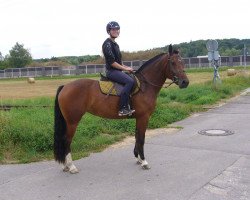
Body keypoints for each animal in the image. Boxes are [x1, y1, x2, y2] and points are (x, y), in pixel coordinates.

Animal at [53, 44, 188, 173]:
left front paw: (138, 158)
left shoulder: (138, 118)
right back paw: (71, 166)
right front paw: (144, 162)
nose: (185, 82)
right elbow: (142, 138)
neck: (145, 86)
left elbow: (137, 136)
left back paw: (66, 166)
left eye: (182, 62)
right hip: (72, 121)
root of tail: (65, 86)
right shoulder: (144, 117)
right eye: (173, 62)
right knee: (66, 141)